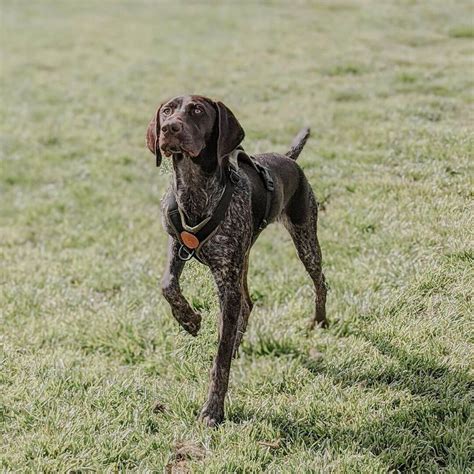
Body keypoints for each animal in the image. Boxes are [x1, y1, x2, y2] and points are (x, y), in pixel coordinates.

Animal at [146, 95, 328, 426]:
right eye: (166, 111)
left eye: (197, 110)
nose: (169, 128)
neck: (195, 189)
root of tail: (289, 159)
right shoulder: (177, 246)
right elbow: (167, 285)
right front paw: (189, 320)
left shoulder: (225, 283)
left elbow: (220, 357)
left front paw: (213, 411)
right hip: (243, 258)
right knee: (248, 303)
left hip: (305, 240)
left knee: (320, 282)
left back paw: (319, 320)